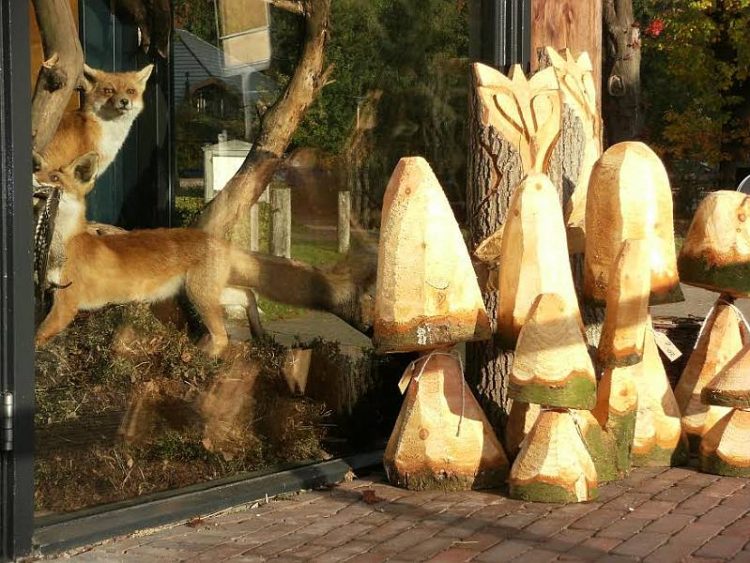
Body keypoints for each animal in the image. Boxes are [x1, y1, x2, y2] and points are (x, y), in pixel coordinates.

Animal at [33, 152, 376, 354]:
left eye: (55, 179)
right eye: (41, 170)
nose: (33, 178)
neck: (66, 241)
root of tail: (217, 240)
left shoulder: (67, 303)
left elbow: (38, 337)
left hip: (199, 295)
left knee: (224, 336)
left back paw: (201, 359)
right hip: (206, 292)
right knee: (247, 295)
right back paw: (257, 333)